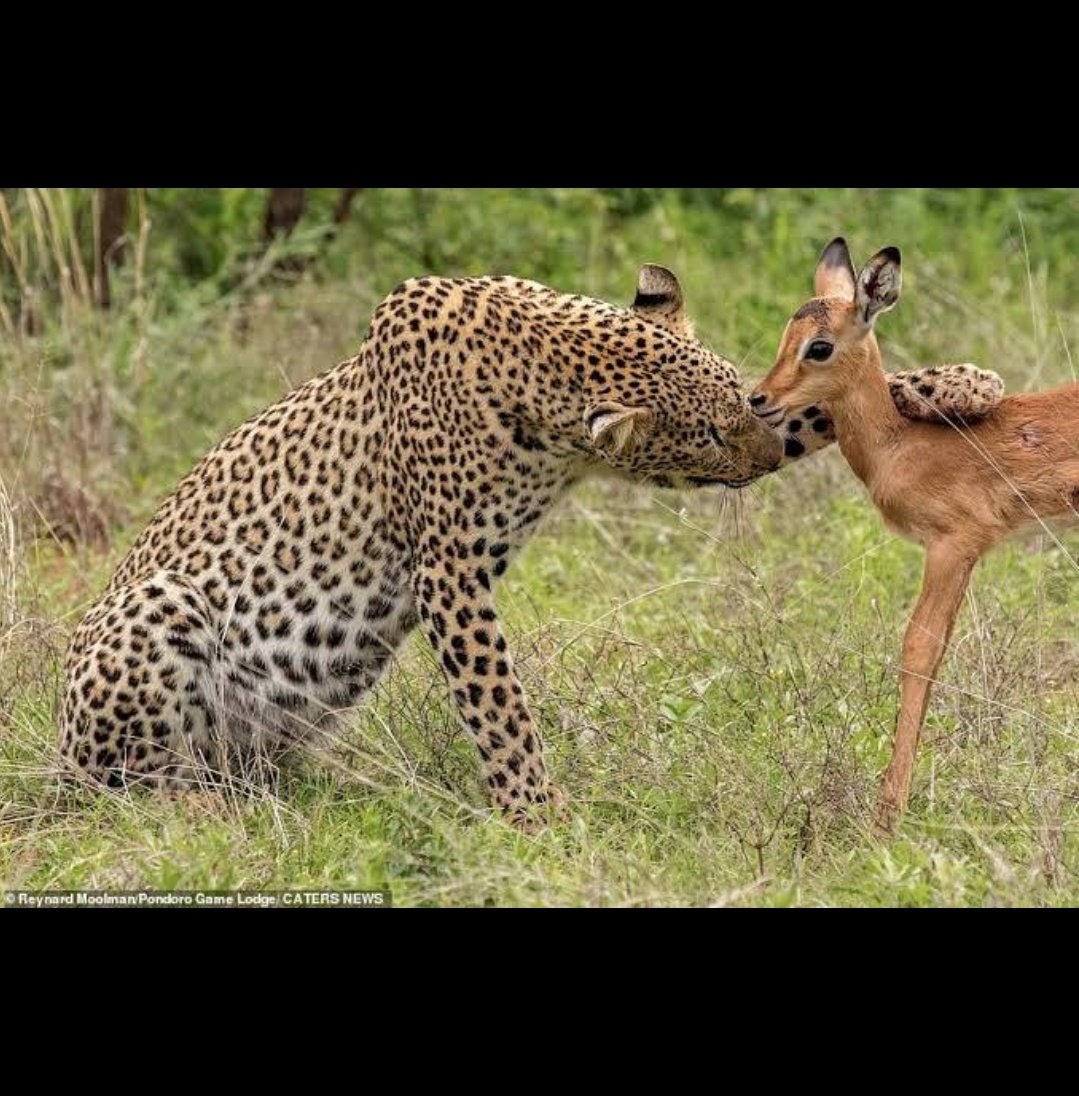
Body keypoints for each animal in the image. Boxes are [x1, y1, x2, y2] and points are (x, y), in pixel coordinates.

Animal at [58, 263, 1005, 823]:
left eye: (743, 400)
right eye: (702, 435)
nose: (766, 453)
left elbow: (830, 405)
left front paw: (960, 383)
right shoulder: (448, 572)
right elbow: (501, 706)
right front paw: (540, 816)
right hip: (156, 611)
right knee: (129, 789)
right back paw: (199, 810)